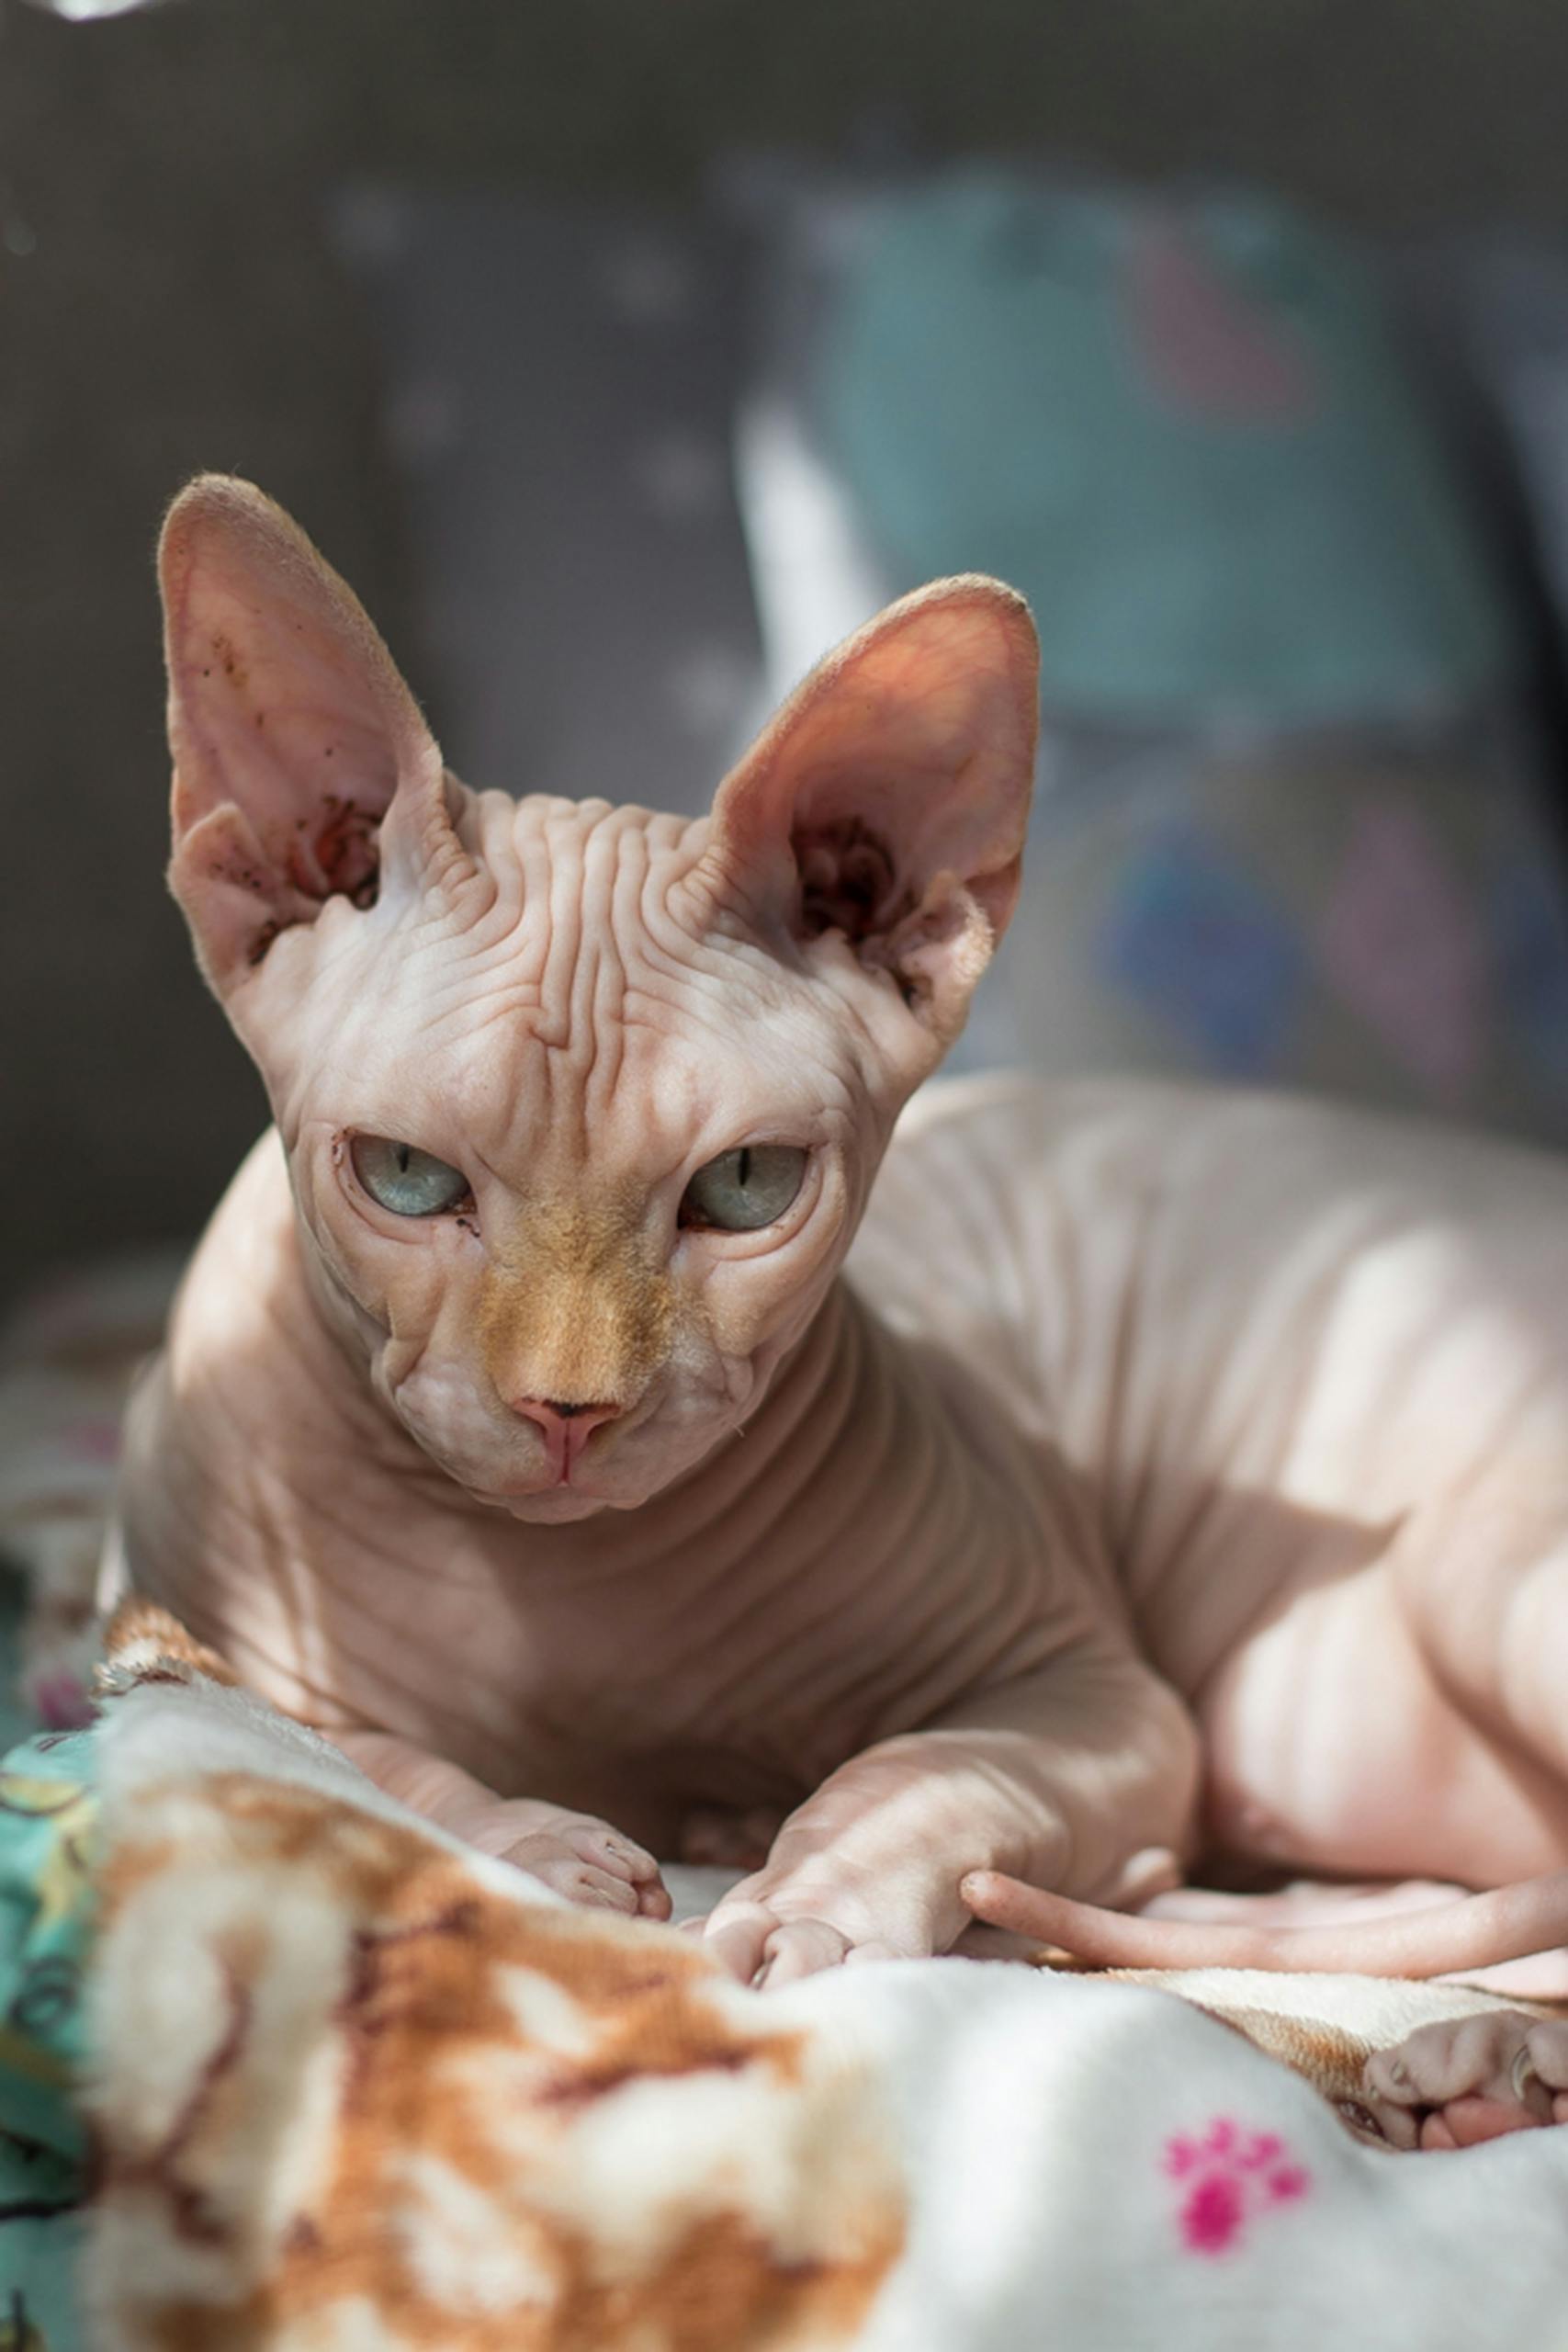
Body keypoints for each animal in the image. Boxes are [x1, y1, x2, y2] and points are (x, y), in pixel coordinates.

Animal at [116, 477, 1568, 2154]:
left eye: (744, 1186)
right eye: (406, 1178)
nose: (568, 1409)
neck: (561, 1604)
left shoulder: (1093, 1688)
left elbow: (922, 1767)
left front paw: (804, 1903)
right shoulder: (197, 1645)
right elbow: (359, 1761)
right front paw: (542, 1852)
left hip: (1476, 1567)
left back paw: (1476, 2060)